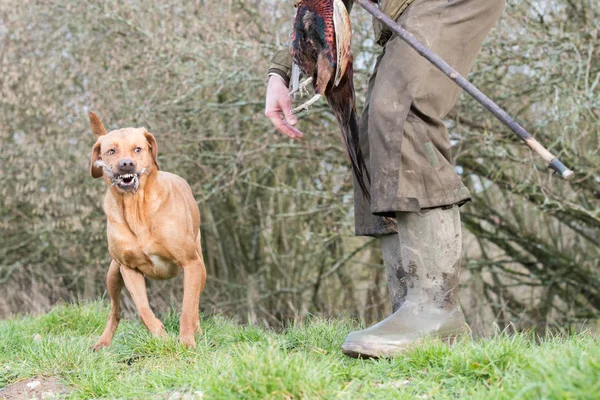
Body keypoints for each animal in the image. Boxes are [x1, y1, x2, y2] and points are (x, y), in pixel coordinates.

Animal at [88, 111, 206, 348]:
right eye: (111, 151)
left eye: (137, 149)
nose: (126, 164)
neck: (137, 209)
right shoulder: (128, 268)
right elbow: (143, 309)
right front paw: (161, 336)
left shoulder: (191, 263)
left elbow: (187, 308)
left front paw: (187, 342)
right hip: (113, 274)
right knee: (115, 311)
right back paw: (102, 343)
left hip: (202, 268)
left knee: (195, 304)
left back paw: (197, 331)